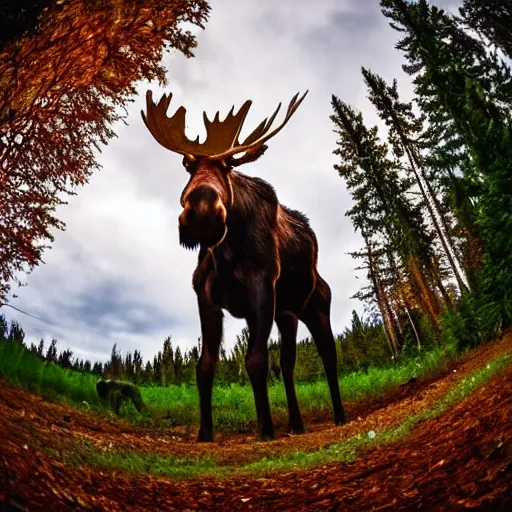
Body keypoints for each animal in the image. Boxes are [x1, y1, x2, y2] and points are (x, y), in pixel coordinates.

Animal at [142, 88, 346, 440]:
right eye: (187, 164)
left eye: (229, 164)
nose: (203, 212)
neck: (226, 256)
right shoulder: (206, 297)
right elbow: (205, 365)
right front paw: (205, 433)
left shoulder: (262, 287)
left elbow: (256, 360)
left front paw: (266, 431)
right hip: (287, 315)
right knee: (288, 364)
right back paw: (296, 423)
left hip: (316, 306)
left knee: (329, 356)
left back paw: (339, 416)